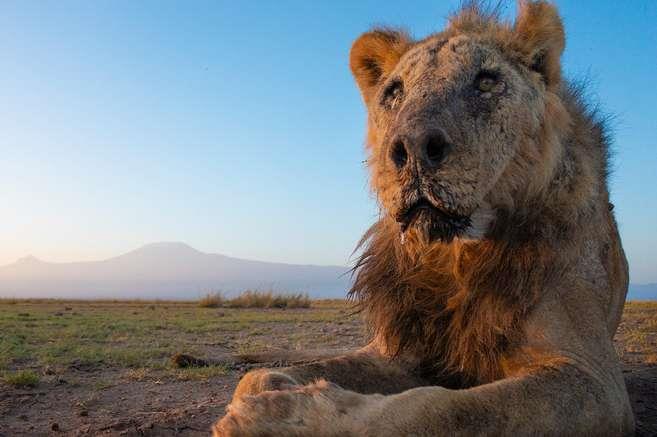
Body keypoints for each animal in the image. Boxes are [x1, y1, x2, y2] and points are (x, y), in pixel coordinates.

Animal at [213, 1, 632, 434]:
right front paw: (274, 387)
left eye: (486, 82)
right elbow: (258, 378)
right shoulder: (399, 350)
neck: (453, 256)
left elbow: (442, 408)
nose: (412, 147)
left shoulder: (593, 379)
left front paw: (280, 416)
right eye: (394, 92)